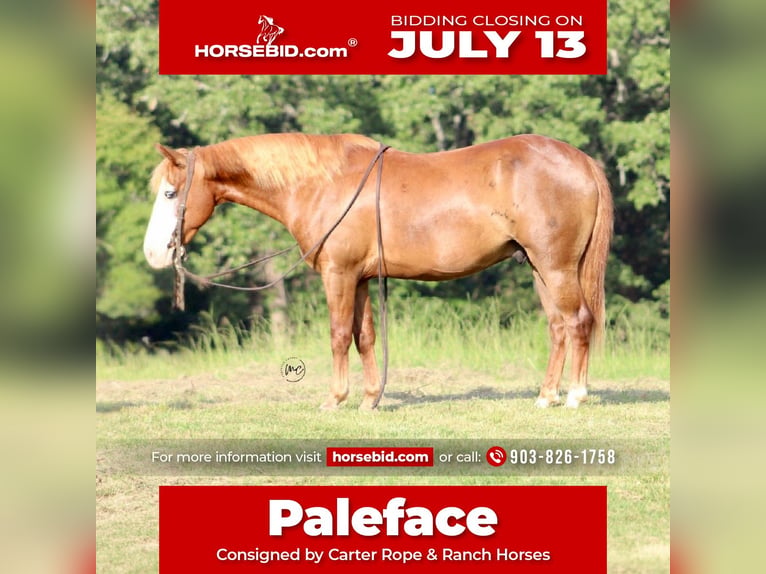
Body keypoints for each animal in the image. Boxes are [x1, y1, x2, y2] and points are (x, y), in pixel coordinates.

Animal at [143, 133, 613, 411]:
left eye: (170, 193)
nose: (152, 253)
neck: (324, 184)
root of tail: (580, 161)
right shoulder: (362, 278)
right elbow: (364, 336)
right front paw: (370, 399)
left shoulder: (338, 274)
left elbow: (337, 336)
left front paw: (335, 400)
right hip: (539, 267)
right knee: (557, 327)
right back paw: (546, 396)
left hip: (556, 267)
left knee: (577, 322)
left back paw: (575, 396)